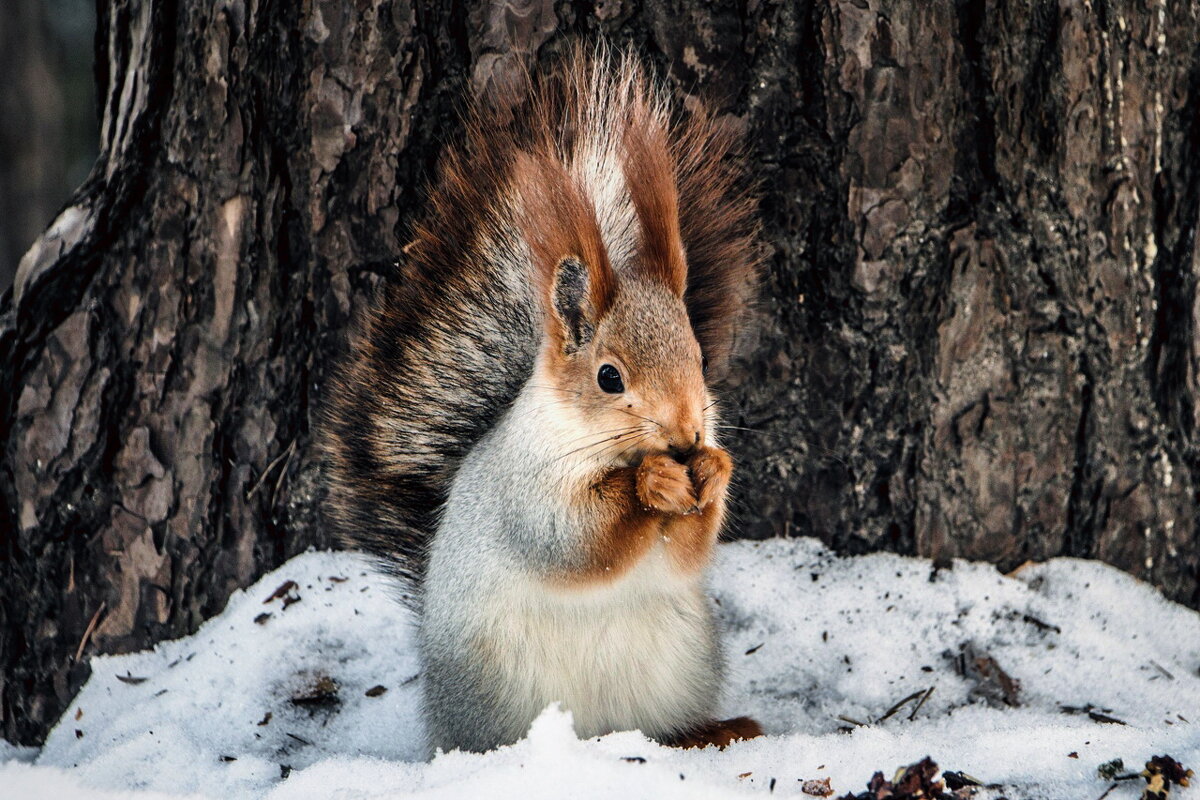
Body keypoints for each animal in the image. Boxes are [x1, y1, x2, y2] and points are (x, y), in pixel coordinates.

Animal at [321, 45, 758, 758]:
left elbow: (689, 553)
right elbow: (572, 541)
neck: (600, 444)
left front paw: (713, 472)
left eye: (697, 359)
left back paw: (713, 731)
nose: (688, 436)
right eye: (609, 377)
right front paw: (652, 484)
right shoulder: (524, 490)